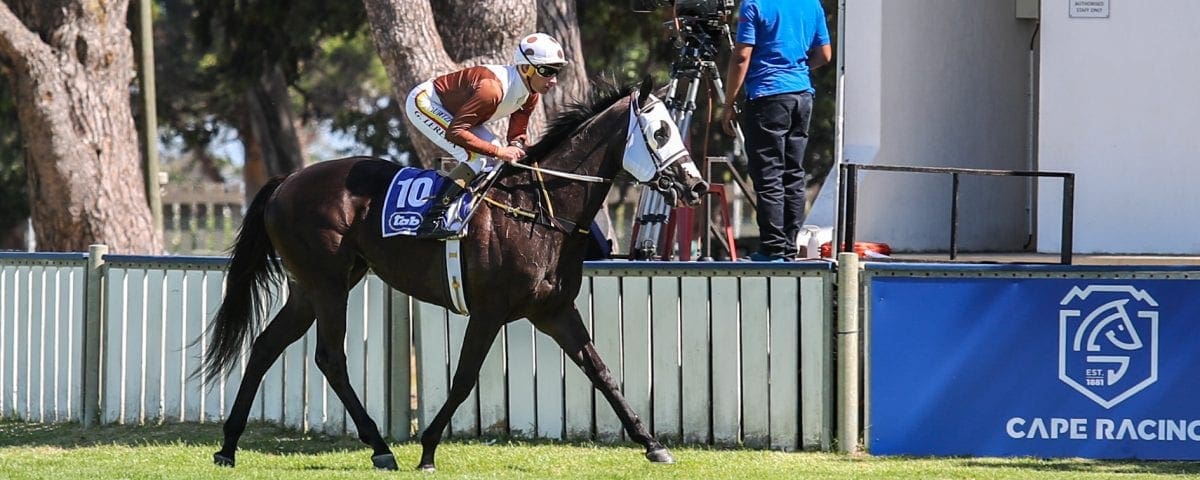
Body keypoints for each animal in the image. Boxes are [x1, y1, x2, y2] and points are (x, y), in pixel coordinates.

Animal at [196, 78, 700, 472]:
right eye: (659, 131)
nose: (693, 185)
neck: (538, 209)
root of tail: (287, 180)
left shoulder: (554, 310)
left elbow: (601, 372)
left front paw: (652, 444)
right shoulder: (489, 311)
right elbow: (463, 379)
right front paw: (427, 450)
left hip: (310, 288)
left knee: (265, 346)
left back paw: (228, 448)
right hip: (328, 285)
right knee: (330, 359)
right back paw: (380, 448)